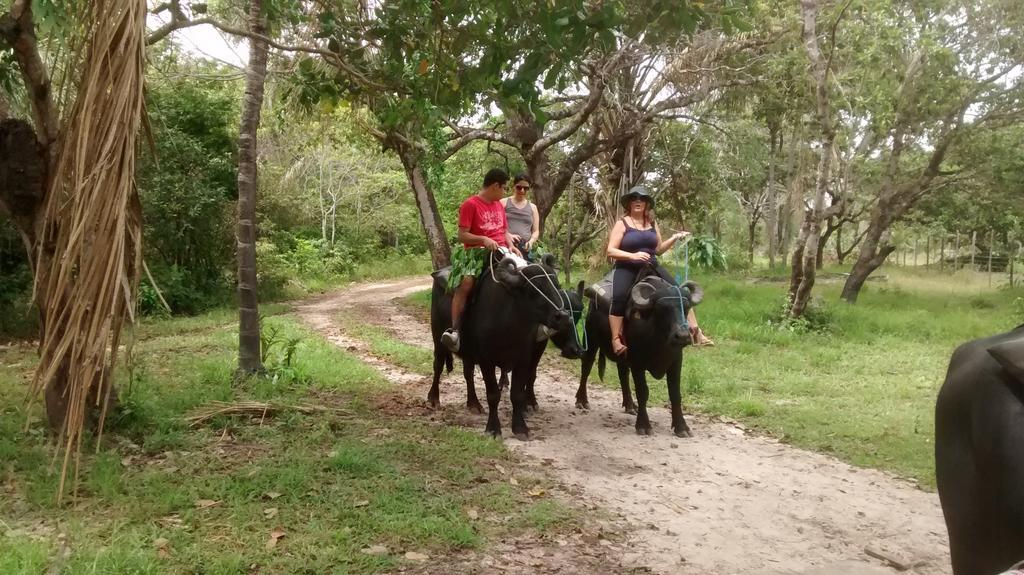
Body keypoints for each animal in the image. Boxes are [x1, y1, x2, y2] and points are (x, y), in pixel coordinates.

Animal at [428, 252, 581, 435]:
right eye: (534, 288)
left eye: (556, 285)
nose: (563, 316)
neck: (509, 325)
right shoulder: (486, 361)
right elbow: (493, 394)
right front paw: (493, 429)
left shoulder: (524, 358)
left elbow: (518, 392)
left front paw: (521, 427)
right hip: (437, 338)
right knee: (438, 365)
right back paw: (433, 399)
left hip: (468, 351)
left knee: (468, 373)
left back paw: (473, 403)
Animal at [577, 272, 704, 433]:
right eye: (661, 309)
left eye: (686, 308)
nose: (682, 336)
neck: (659, 341)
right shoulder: (638, 364)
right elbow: (643, 392)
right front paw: (643, 425)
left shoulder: (676, 361)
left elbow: (675, 393)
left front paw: (681, 427)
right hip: (591, 340)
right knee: (586, 367)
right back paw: (581, 400)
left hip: (622, 354)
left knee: (623, 374)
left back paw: (630, 405)